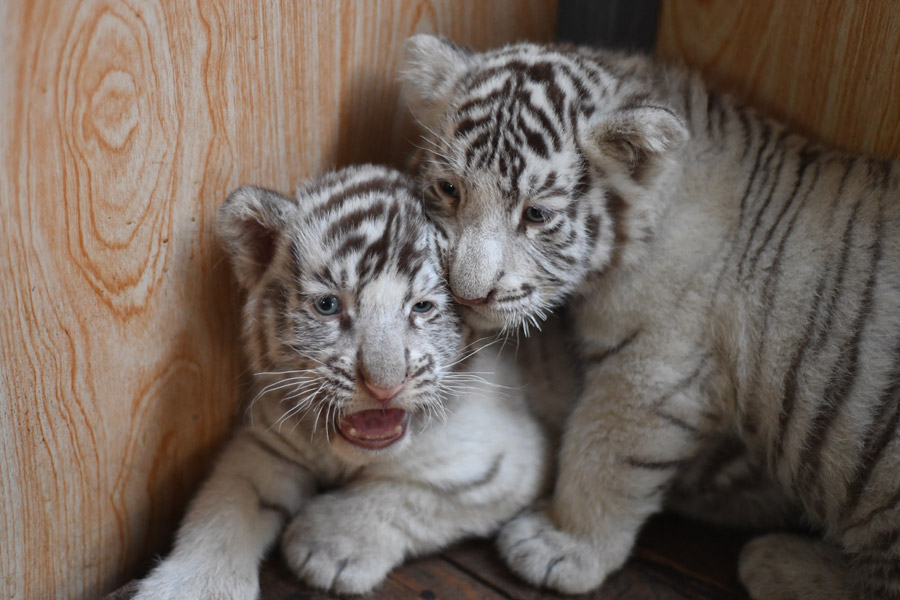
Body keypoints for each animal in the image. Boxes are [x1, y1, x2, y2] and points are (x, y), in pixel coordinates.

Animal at [132, 165, 549, 599]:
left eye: (421, 307)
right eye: (328, 305)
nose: (385, 385)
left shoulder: (502, 460)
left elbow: (408, 493)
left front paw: (329, 545)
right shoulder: (266, 442)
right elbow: (223, 505)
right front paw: (193, 587)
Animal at [401, 34, 900, 599]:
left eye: (536, 214)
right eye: (449, 189)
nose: (468, 295)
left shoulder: (651, 367)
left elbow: (605, 455)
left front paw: (563, 548)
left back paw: (774, 561)